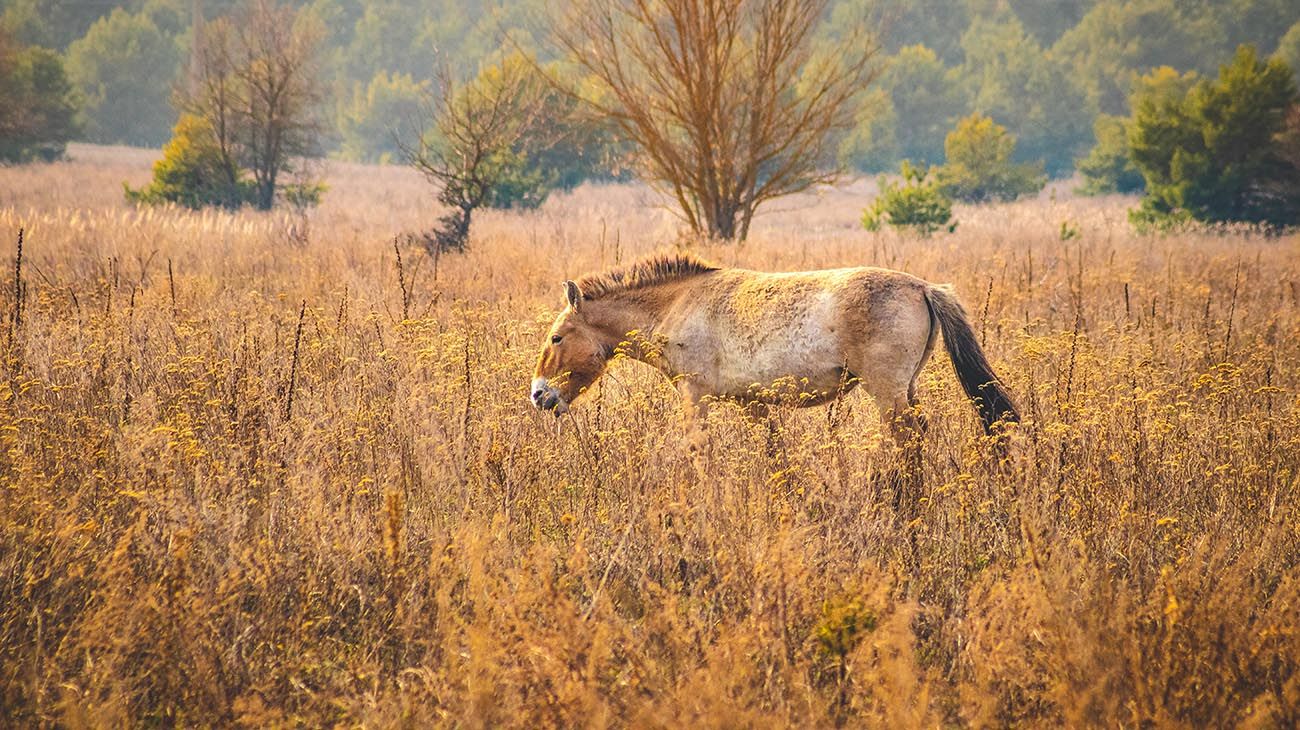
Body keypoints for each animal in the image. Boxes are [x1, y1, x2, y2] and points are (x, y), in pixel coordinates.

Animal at [529, 253, 1018, 444]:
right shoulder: (753, 404)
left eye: (557, 338)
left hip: (888, 394)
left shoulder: (694, 397)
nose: (537, 394)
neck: (677, 305)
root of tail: (922, 287)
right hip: (907, 389)